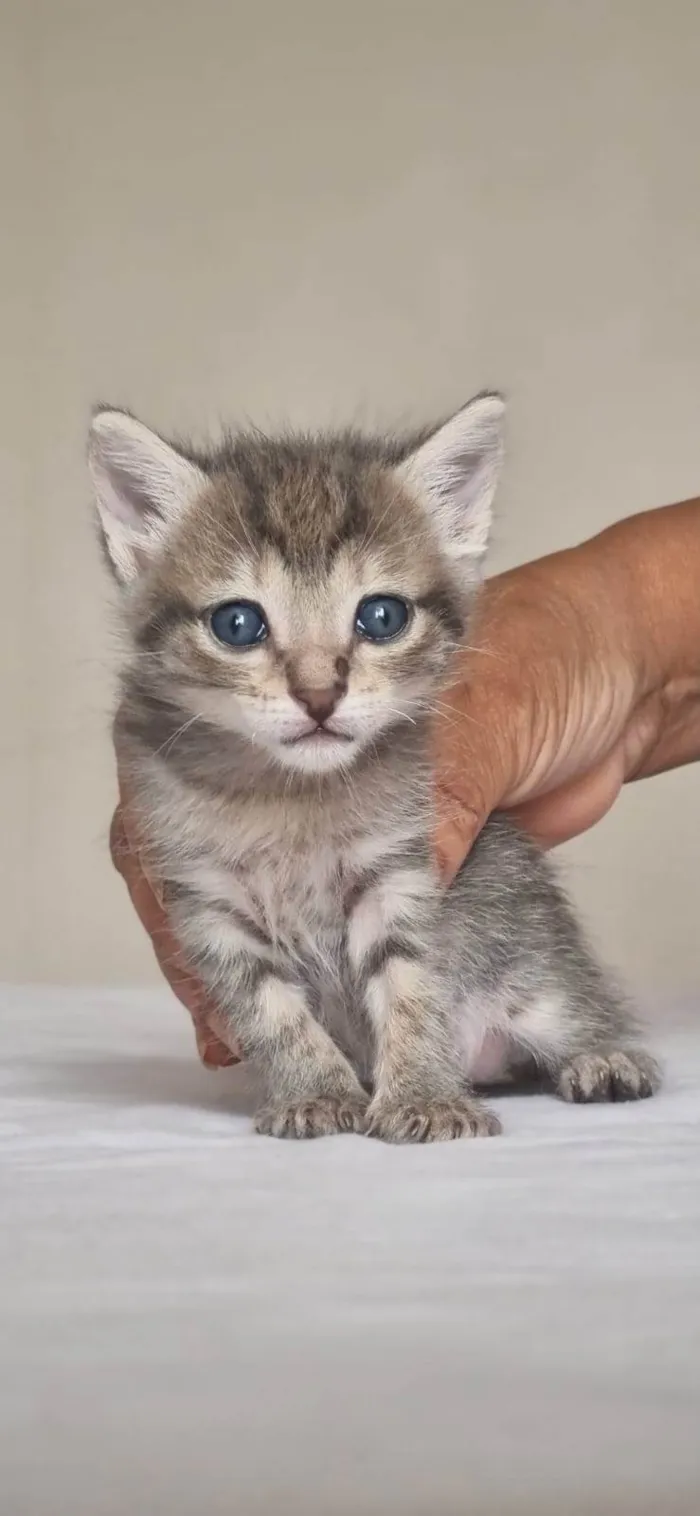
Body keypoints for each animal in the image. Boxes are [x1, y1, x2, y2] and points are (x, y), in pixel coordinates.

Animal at [89, 391, 660, 1140]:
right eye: (238, 625)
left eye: (381, 617)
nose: (319, 695)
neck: (287, 798)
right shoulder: (204, 904)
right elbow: (269, 1008)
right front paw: (315, 1090)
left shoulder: (399, 871)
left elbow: (412, 984)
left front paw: (424, 1095)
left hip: (533, 969)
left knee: (578, 1004)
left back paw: (604, 1058)